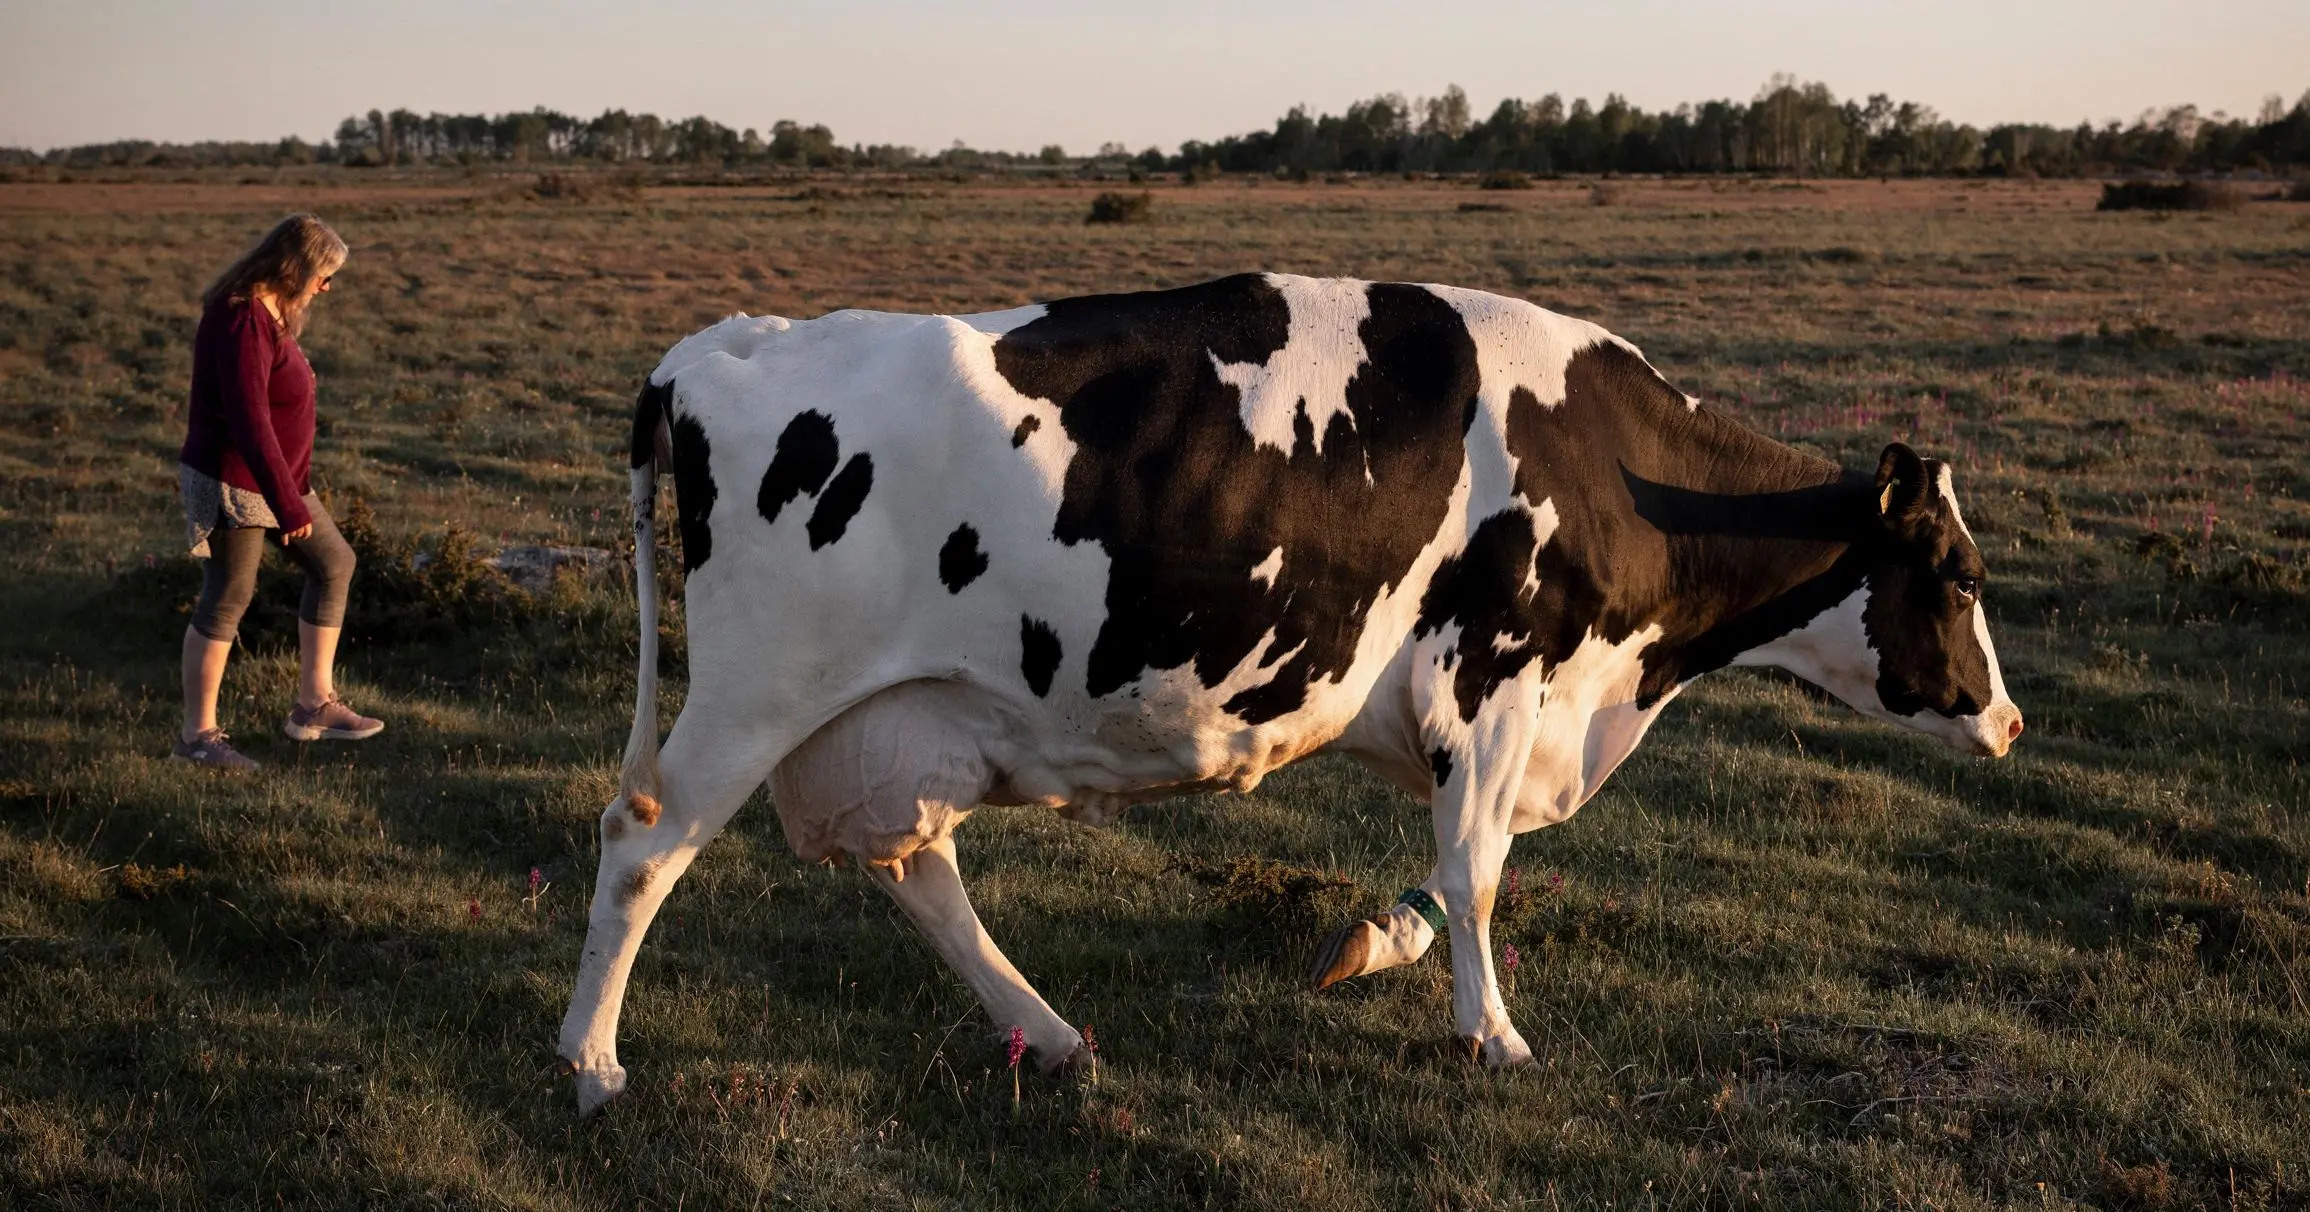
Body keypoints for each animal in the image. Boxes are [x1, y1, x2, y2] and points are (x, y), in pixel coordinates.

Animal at [549, 268, 2014, 1112]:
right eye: (1958, 575)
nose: (2003, 719)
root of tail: (721, 348)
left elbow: (1454, 871)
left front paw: (1381, 943)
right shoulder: (1491, 678)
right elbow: (1479, 869)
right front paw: (1493, 1036)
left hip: (891, 715)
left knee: (917, 869)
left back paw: (1051, 1034)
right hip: (758, 688)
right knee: (645, 838)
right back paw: (591, 1060)